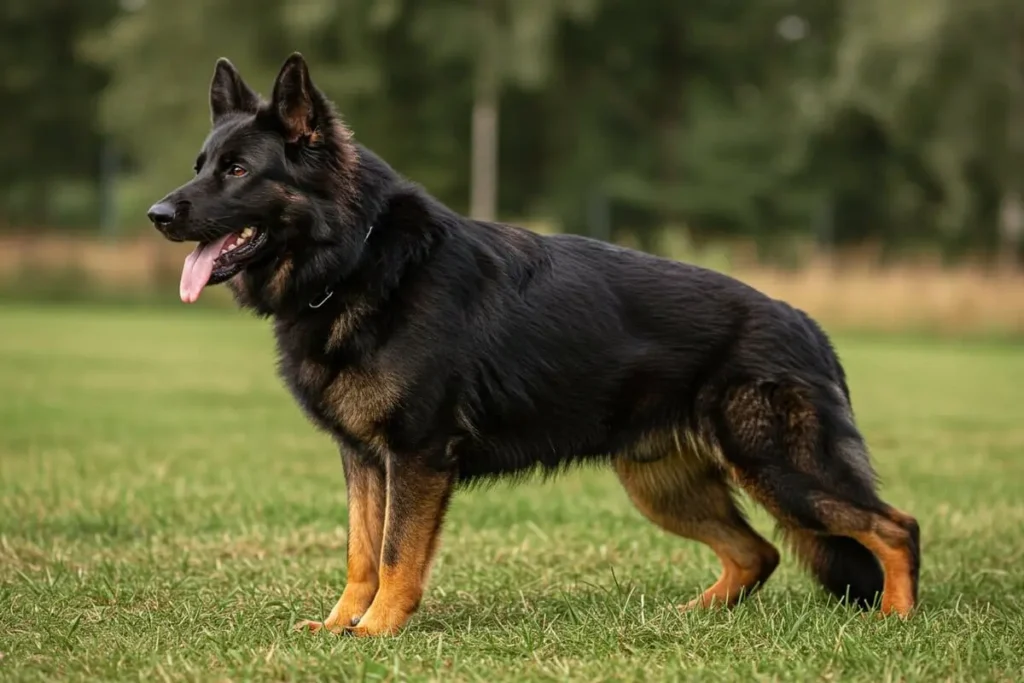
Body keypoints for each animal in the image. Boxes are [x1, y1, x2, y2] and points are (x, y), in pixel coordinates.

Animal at [149, 56, 921, 638]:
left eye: (239, 171)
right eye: (202, 164)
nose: (158, 214)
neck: (355, 259)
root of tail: (806, 322)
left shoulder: (416, 457)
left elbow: (396, 553)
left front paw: (376, 630)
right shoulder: (364, 460)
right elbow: (360, 553)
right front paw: (342, 624)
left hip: (782, 472)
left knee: (896, 526)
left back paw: (897, 618)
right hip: (665, 487)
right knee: (757, 553)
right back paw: (692, 616)